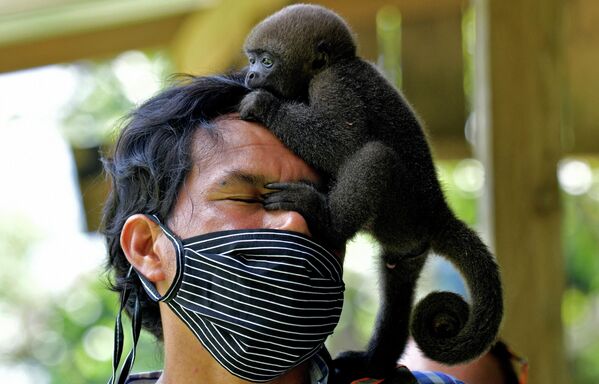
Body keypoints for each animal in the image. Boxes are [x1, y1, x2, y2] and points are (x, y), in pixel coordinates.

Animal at [241, 3, 504, 384]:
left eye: (266, 61)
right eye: (251, 59)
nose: (249, 75)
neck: (337, 63)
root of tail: (438, 210)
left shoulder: (334, 84)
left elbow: (342, 140)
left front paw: (264, 105)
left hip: (404, 207)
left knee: (375, 155)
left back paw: (326, 219)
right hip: (407, 244)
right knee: (397, 284)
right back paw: (374, 363)